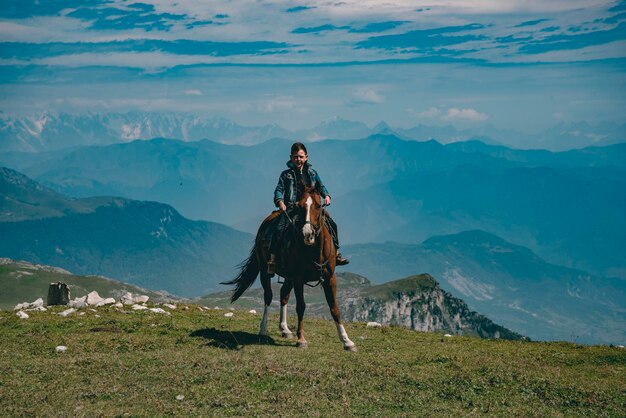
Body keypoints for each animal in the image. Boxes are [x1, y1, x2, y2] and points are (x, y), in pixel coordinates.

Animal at [219, 185, 356, 350]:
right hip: (265, 272)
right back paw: (263, 331)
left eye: (318, 205)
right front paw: (301, 339)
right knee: (268, 296)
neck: (313, 250)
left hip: (288, 277)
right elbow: (301, 306)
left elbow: (334, 308)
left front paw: (347, 341)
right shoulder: (298, 278)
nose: (308, 233)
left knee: (283, 295)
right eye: (300, 206)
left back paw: (284, 329)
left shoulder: (329, 278)